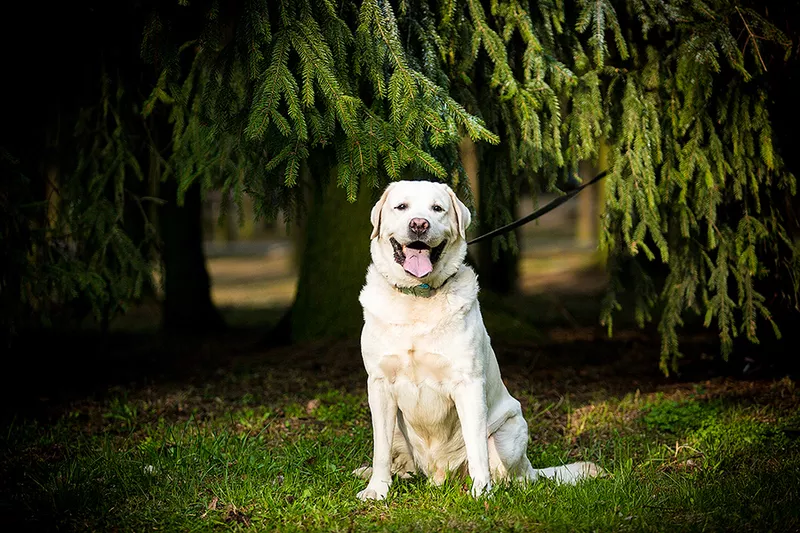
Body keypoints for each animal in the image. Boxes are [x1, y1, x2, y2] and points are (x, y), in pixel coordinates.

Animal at [356, 180, 600, 498]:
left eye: (437, 209)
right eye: (401, 207)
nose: (419, 224)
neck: (419, 297)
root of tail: (437, 476)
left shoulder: (468, 384)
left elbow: (476, 449)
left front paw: (481, 493)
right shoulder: (380, 384)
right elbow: (380, 450)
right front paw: (377, 490)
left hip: (510, 429)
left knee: (512, 476)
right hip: (399, 428)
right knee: (401, 461)